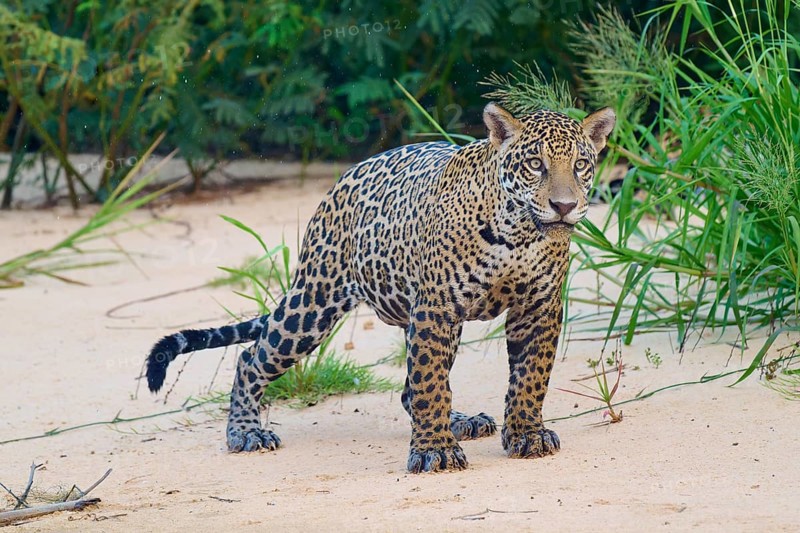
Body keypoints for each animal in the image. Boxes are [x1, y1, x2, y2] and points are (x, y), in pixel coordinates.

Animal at [146, 103, 615, 473]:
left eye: (581, 164)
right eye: (534, 164)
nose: (564, 206)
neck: (519, 234)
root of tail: (340, 181)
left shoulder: (538, 306)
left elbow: (530, 377)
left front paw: (526, 434)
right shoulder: (435, 308)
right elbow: (430, 384)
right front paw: (434, 452)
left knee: (413, 385)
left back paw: (462, 420)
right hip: (314, 304)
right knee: (251, 358)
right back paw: (245, 432)